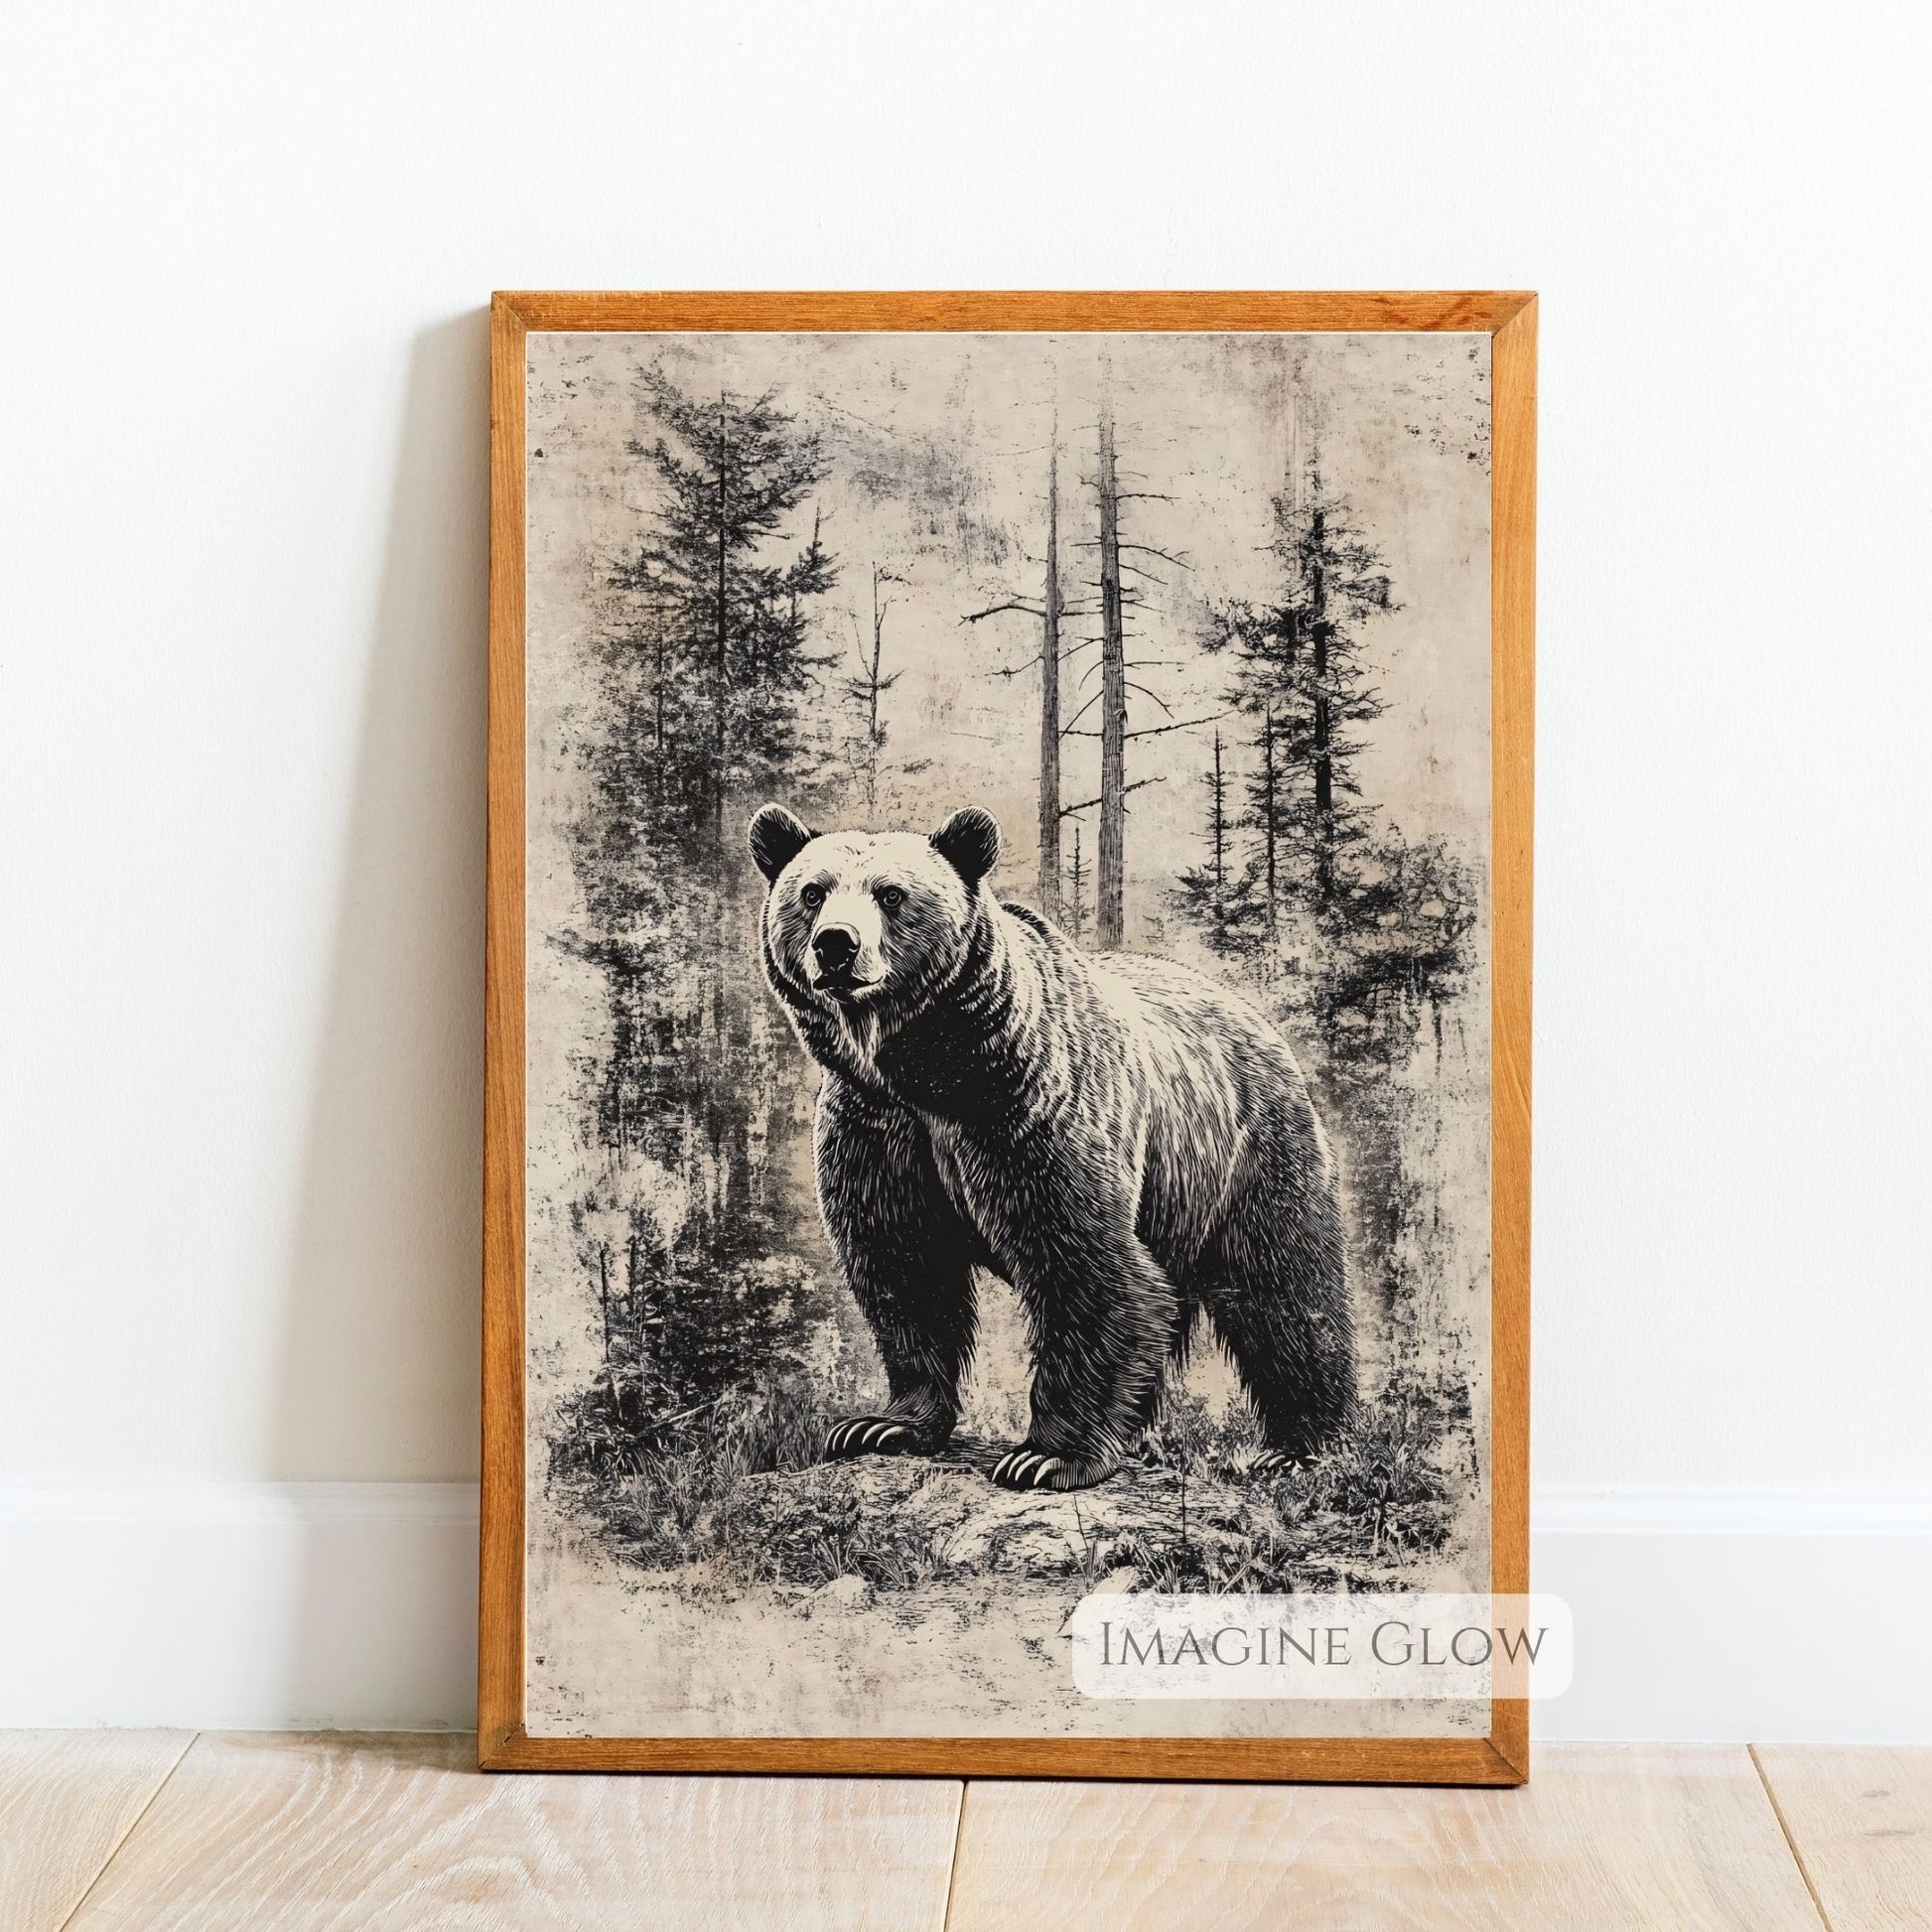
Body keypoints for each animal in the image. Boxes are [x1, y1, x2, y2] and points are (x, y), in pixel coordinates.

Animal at [750, 800, 1355, 1493]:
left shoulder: (1029, 1113)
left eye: (891, 894)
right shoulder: (878, 1127)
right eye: (812, 892)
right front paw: (883, 1425)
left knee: (1284, 1288)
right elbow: (905, 1266)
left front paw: (1047, 1455)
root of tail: (1251, 1012)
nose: (836, 944)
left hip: (1246, 1150)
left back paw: (1300, 1446)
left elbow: (1086, 1268)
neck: (930, 1067)